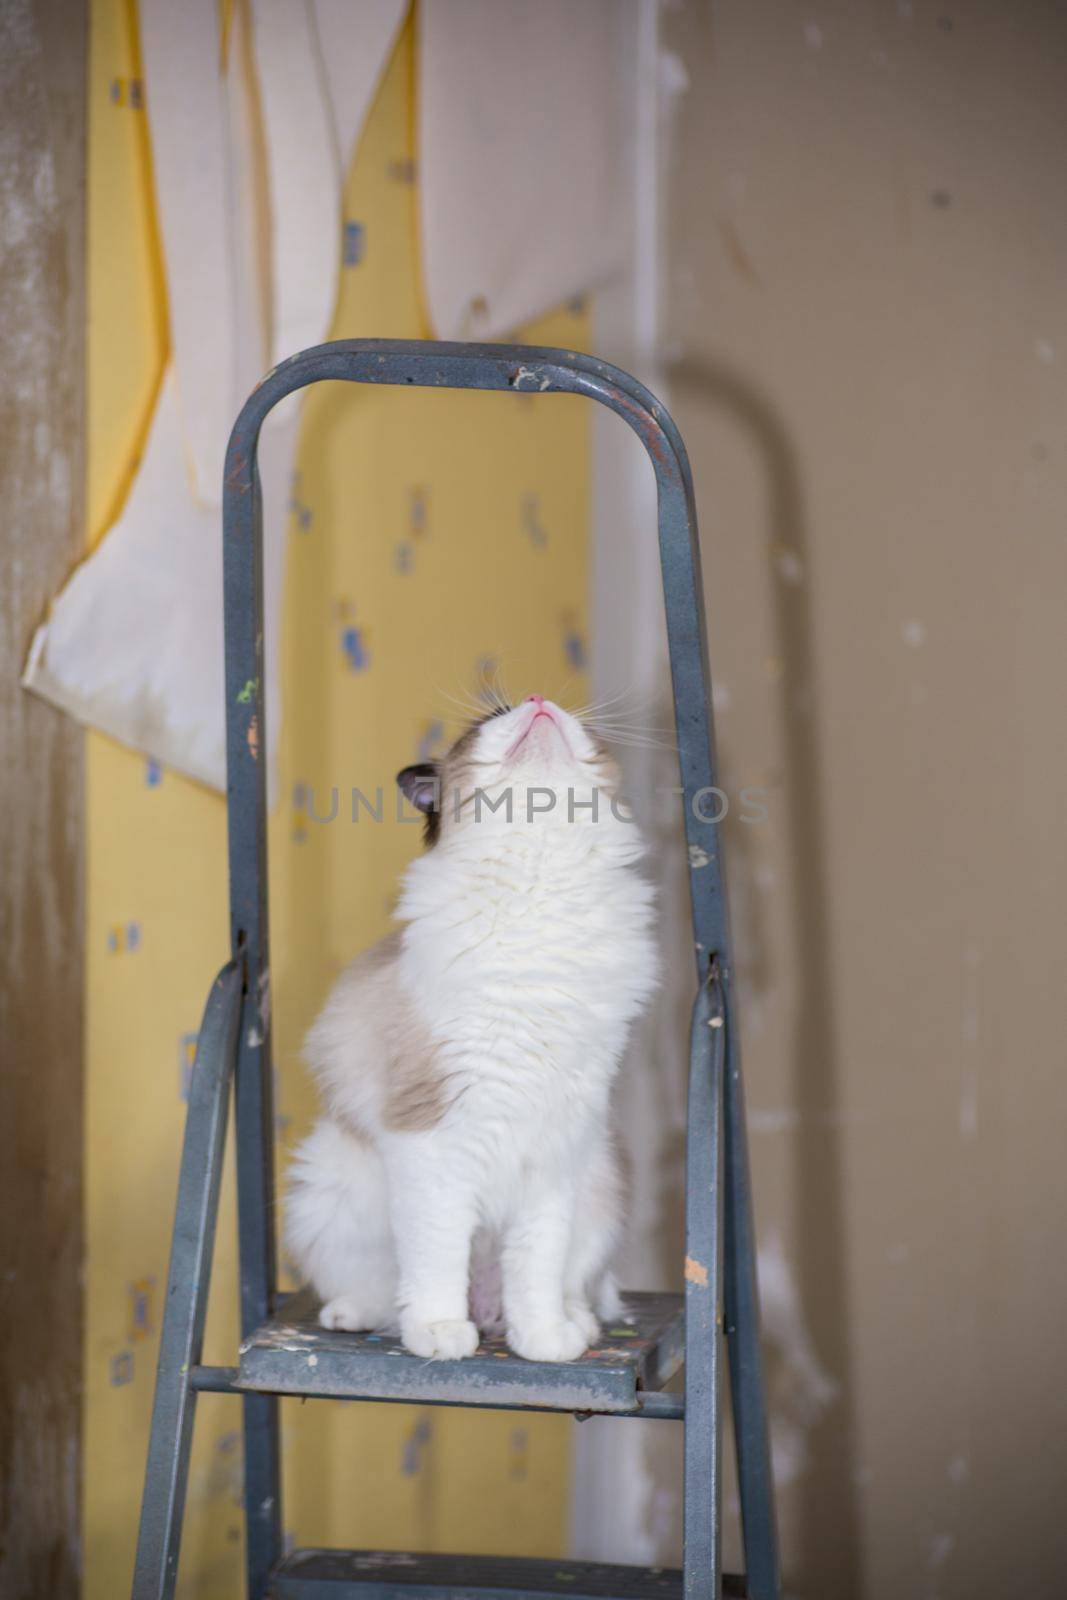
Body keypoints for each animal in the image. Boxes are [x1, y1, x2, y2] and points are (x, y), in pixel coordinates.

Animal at [289, 697, 659, 1363]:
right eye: (498, 714)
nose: (538, 701)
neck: (540, 879)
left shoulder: (554, 1143)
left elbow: (535, 1269)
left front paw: (544, 1343)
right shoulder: (434, 1138)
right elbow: (437, 1259)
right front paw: (440, 1335)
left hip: (597, 1185)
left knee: (568, 1288)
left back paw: (565, 1328)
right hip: (327, 1187)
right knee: (384, 1294)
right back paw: (367, 1318)